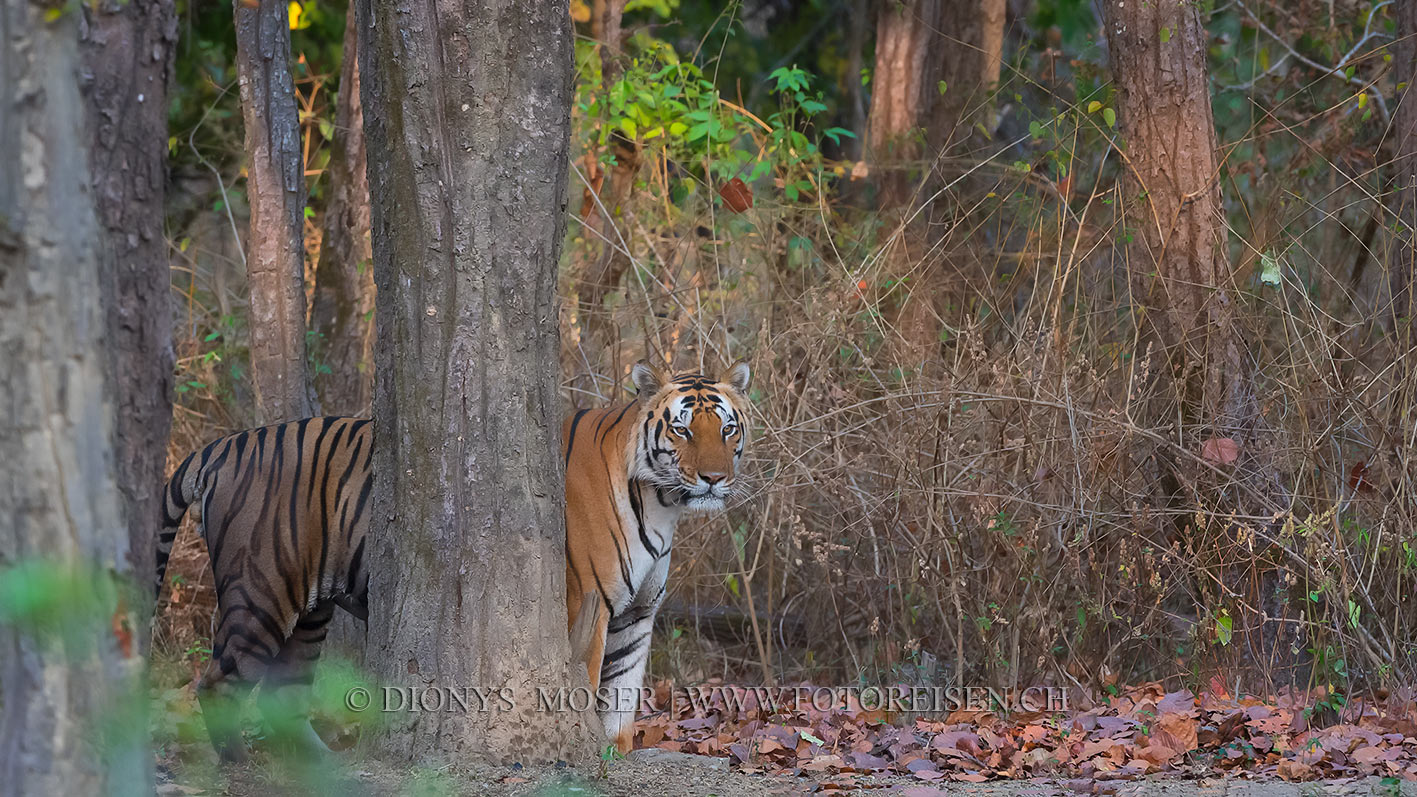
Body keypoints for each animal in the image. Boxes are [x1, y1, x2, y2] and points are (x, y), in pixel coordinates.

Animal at [155, 358, 753, 754]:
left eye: (727, 428)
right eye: (681, 429)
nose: (714, 479)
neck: (661, 503)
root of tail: (223, 446)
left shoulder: (636, 614)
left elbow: (622, 697)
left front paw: (613, 755)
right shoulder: (585, 604)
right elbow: (584, 689)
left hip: (309, 613)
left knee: (284, 693)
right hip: (260, 590)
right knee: (217, 685)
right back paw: (236, 764)